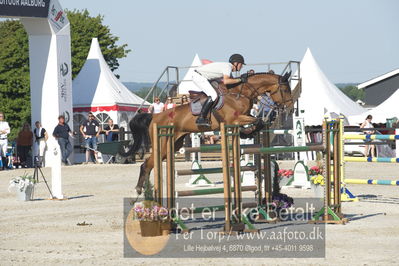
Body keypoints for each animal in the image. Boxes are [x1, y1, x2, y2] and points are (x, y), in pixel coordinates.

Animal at [131, 71, 294, 194]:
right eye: (286, 90)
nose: (291, 108)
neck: (240, 93)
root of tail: (155, 116)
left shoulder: (242, 116)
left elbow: (257, 121)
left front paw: (247, 133)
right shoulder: (234, 118)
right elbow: (257, 120)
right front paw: (247, 132)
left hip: (173, 145)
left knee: (150, 163)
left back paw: (145, 189)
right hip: (163, 143)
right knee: (147, 164)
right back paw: (141, 190)